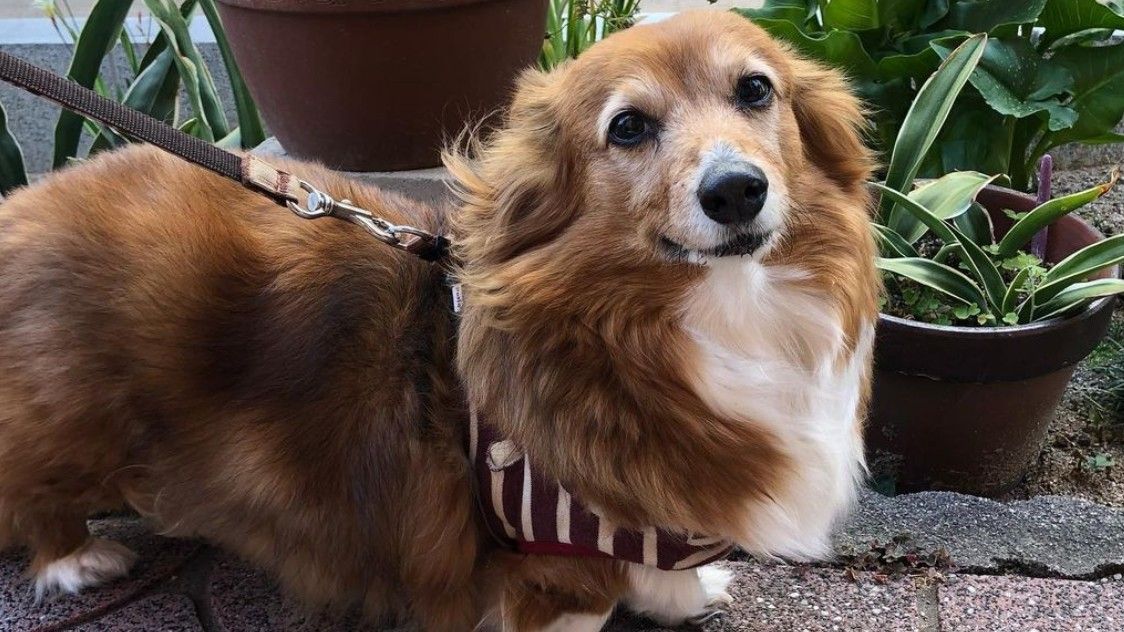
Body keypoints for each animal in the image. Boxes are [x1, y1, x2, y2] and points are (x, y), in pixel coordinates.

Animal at [0, 11, 876, 629]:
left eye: (755, 90)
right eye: (628, 126)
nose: (735, 190)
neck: (719, 312)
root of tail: (21, 206)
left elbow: (662, 566)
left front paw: (685, 595)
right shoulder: (550, 547)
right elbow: (584, 597)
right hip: (75, 418)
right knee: (36, 487)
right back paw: (76, 558)